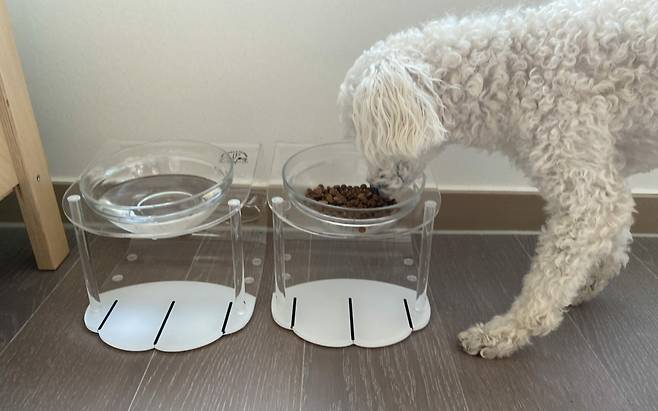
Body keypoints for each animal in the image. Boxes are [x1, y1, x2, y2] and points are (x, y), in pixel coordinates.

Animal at [338, 0, 658, 358]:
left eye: (366, 137)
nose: (375, 187)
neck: (510, 73)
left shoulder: (583, 184)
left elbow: (550, 278)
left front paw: (505, 332)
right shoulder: (607, 167)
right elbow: (617, 228)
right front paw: (592, 279)